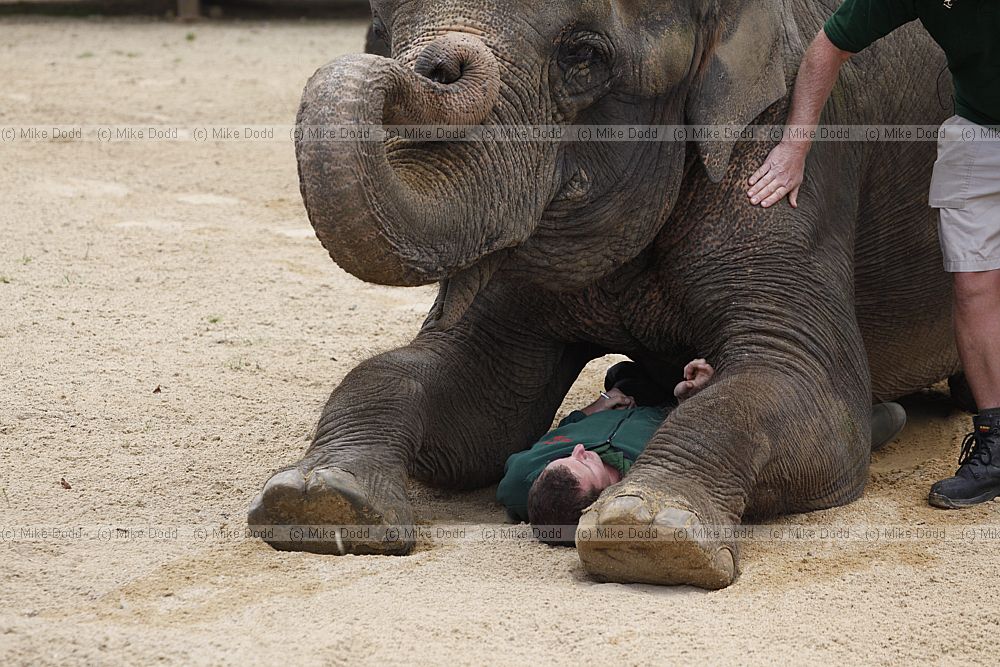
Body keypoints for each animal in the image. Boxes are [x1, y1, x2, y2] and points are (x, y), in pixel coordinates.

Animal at [248, 0, 961, 589]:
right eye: (382, 23)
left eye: (583, 55)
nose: (435, 66)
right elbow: (474, 399)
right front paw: (317, 500)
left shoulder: (794, 155)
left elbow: (808, 389)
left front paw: (651, 531)